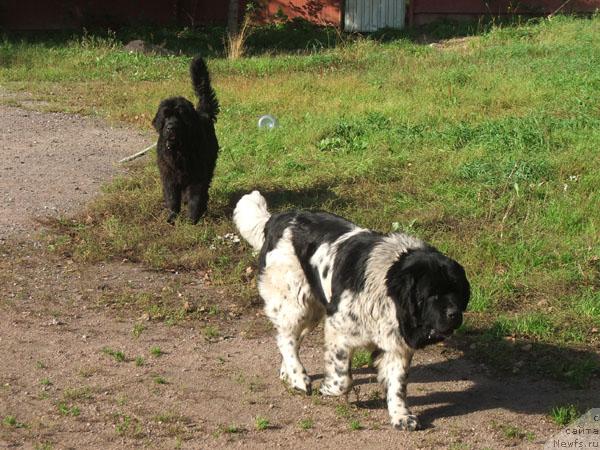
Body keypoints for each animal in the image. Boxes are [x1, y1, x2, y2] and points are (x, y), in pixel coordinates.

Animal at [152, 55, 220, 224]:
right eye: (166, 116)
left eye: (180, 116)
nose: (171, 127)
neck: (179, 149)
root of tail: (203, 113)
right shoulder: (168, 175)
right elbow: (172, 197)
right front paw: (172, 216)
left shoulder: (197, 175)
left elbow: (195, 197)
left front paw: (192, 219)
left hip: (209, 165)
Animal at [232, 192, 472, 430]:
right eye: (432, 294)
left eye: (457, 291)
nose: (454, 314)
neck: (386, 286)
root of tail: (278, 218)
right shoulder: (338, 328)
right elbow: (343, 379)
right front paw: (328, 388)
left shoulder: (395, 345)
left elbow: (397, 385)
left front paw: (401, 416)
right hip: (296, 301)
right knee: (285, 338)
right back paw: (299, 377)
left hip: (313, 309)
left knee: (293, 337)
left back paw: (287, 373)